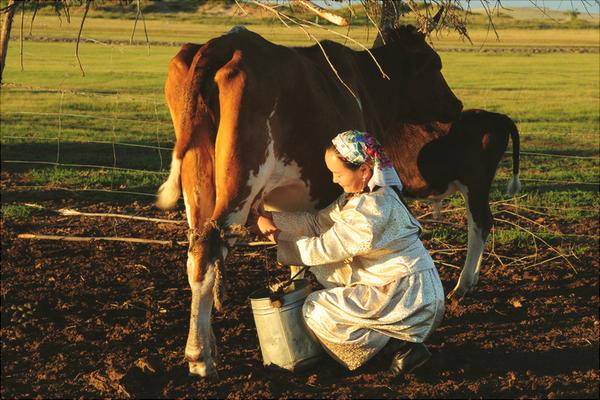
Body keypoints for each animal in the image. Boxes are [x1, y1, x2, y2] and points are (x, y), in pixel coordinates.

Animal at [156, 25, 464, 378]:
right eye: (435, 64)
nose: (456, 104)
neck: (367, 84)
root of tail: (224, 43)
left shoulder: (289, 203)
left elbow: (295, 254)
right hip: (240, 181)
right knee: (208, 253)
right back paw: (199, 358)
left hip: (196, 185)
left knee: (194, 255)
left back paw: (209, 347)